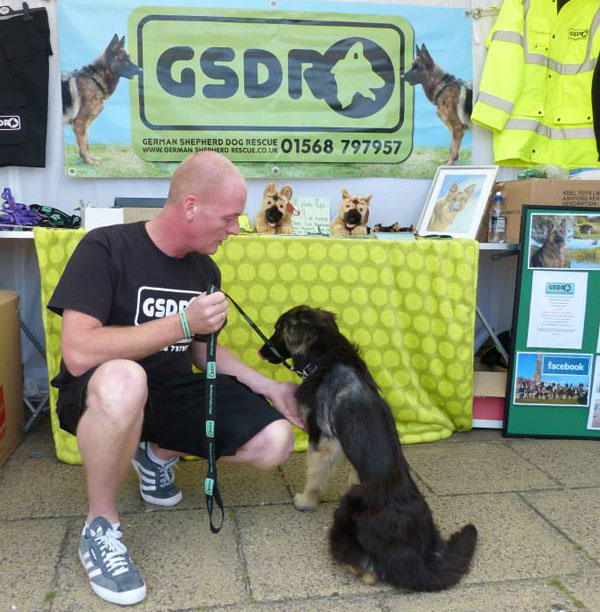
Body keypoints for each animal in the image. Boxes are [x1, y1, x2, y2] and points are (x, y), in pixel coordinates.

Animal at [62, 33, 142, 163]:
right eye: (124, 59)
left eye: (129, 57)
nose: (141, 70)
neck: (95, 80)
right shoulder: (80, 122)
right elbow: (84, 144)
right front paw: (90, 162)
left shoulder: (83, 125)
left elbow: (86, 143)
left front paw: (89, 159)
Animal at [260, 306, 476, 592]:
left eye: (278, 329)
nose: (261, 351)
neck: (329, 357)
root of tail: (416, 559)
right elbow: (352, 471)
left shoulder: (323, 439)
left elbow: (314, 475)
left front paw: (306, 501)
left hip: (345, 514)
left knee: (371, 571)